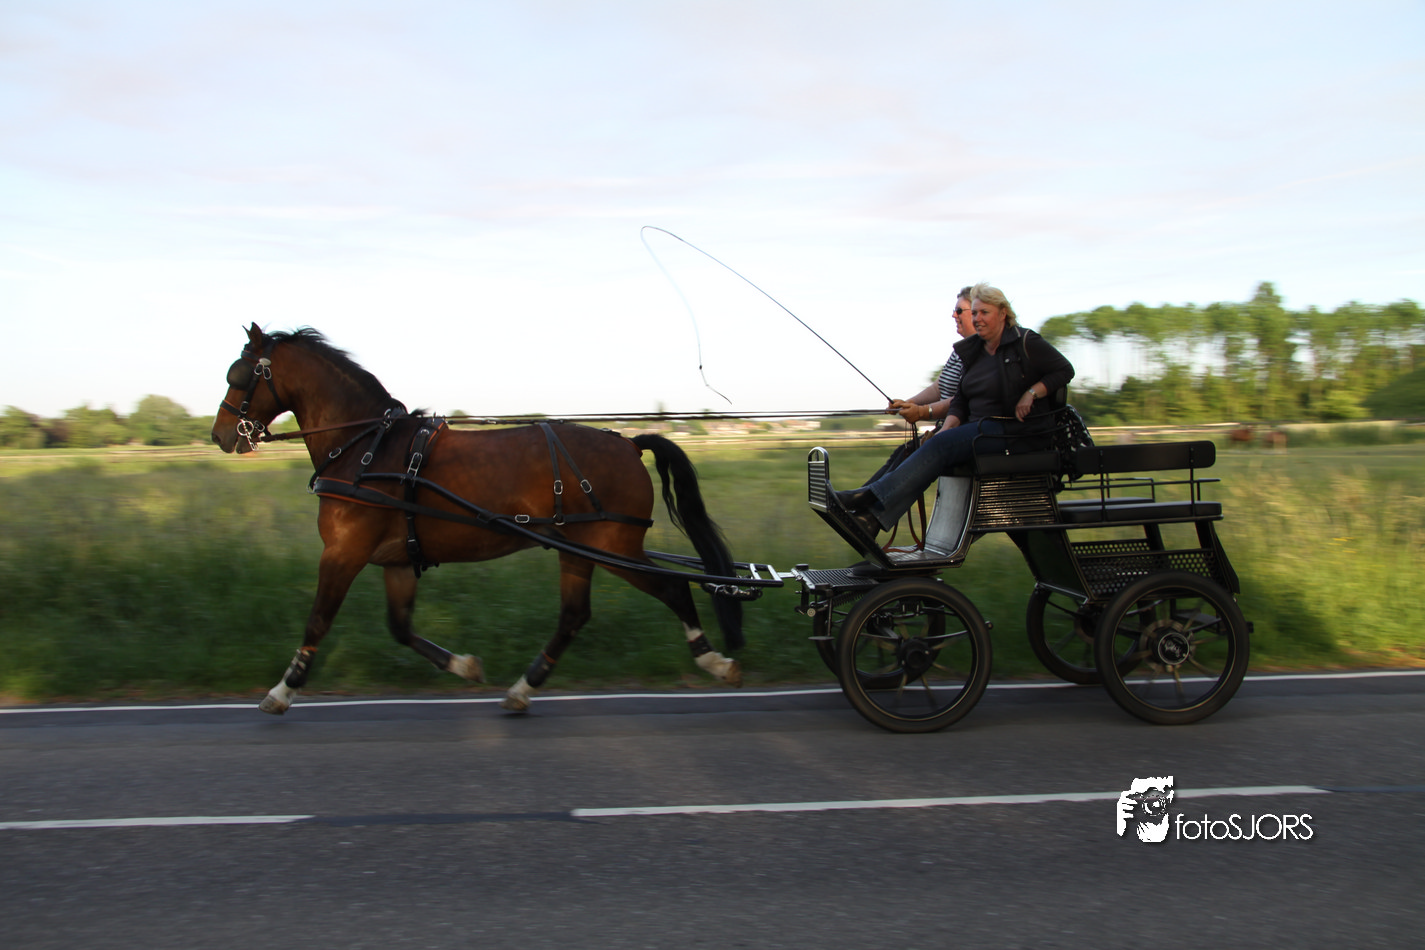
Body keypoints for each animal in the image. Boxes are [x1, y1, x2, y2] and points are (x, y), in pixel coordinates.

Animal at [211, 324, 744, 715]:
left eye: (238, 374)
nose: (220, 435)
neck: (366, 448)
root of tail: (630, 443)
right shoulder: (397, 561)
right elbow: (399, 627)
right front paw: (465, 666)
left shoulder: (343, 552)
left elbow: (318, 621)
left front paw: (283, 690)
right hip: (580, 550)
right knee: (574, 616)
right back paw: (524, 688)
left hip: (613, 547)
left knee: (672, 589)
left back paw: (715, 661)